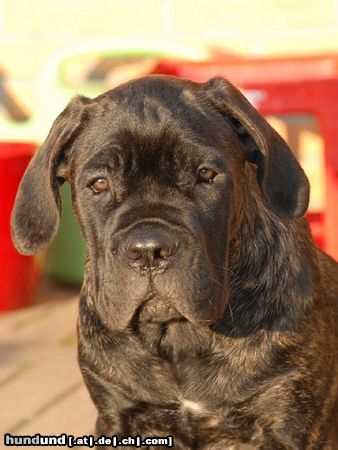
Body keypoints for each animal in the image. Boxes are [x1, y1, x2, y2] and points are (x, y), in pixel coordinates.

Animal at [11, 75, 338, 448]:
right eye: (100, 183)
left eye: (206, 175)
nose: (149, 250)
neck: (179, 336)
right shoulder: (118, 416)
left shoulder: (288, 423)